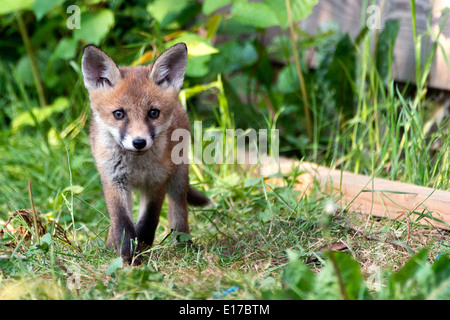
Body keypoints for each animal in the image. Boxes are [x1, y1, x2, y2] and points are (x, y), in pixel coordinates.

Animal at [82, 43, 209, 264]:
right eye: (119, 114)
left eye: (153, 113)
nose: (139, 142)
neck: (137, 166)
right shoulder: (114, 180)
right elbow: (122, 223)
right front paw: (128, 257)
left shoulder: (157, 181)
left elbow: (148, 221)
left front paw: (141, 250)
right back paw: (109, 247)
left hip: (178, 177)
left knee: (179, 211)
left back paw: (185, 245)